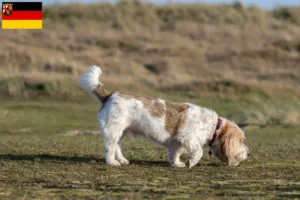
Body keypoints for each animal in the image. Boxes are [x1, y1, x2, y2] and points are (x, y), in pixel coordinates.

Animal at [78, 66, 250, 168]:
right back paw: (112, 162)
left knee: (117, 147)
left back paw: (122, 160)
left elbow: (175, 154)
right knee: (109, 147)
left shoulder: (177, 143)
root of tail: (110, 95)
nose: (248, 153)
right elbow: (198, 151)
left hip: (122, 132)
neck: (214, 127)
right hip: (113, 131)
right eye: (241, 141)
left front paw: (177, 164)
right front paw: (191, 162)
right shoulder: (188, 138)